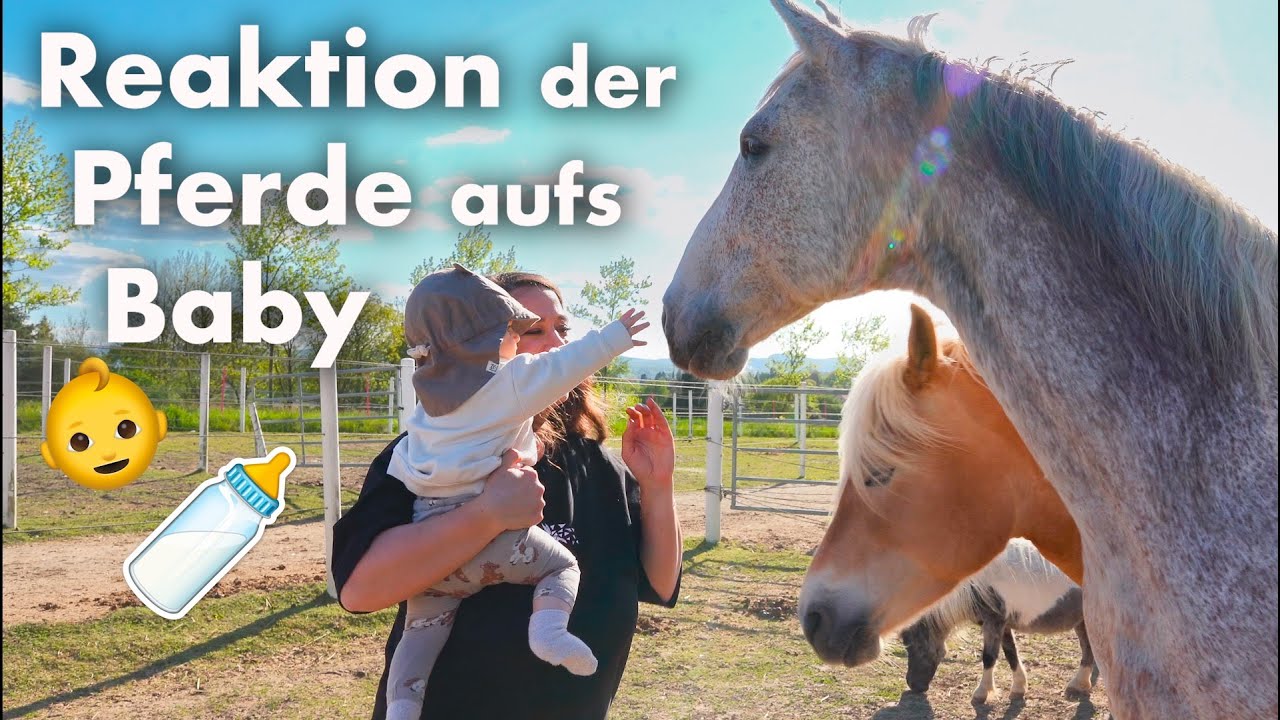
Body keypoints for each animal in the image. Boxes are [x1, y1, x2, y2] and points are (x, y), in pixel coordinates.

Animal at [898, 539, 1094, 704]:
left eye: (912, 643)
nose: (913, 685)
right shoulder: (1004, 625)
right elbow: (1011, 653)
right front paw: (1018, 688)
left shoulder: (993, 622)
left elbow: (989, 657)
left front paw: (981, 693)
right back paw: (1079, 685)